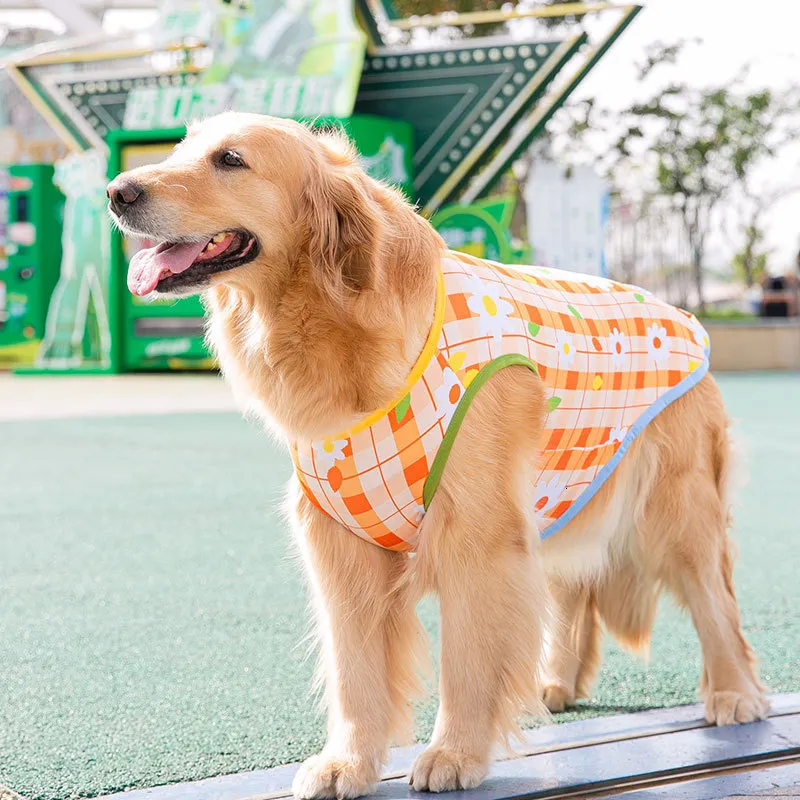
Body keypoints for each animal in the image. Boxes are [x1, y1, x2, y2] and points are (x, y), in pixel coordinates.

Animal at [108, 111, 768, 792]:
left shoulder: (476, 533)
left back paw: (735, 694)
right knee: (572, 592)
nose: (117, 192)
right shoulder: (340, 542)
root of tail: (685, 316)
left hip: (673, 511)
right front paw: (349, 762)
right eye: (179, 149)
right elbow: (354, 673)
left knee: (718, 604)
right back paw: (557, 681)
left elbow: (469, 657)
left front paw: (456, 753)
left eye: (231, 160)